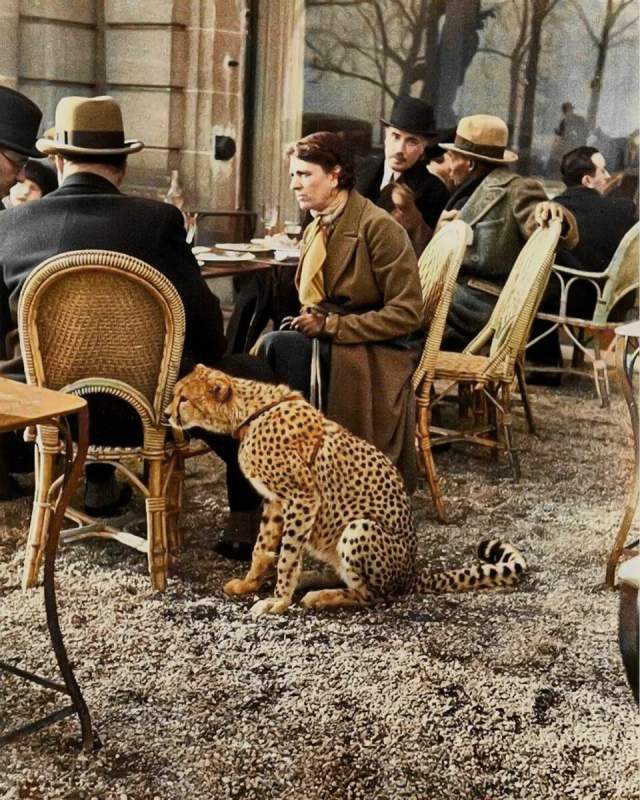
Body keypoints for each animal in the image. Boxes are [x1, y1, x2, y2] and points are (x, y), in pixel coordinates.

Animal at [168, 366, 528, 616]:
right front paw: (249, 583)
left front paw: (278, 601)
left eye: (183, 398)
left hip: (358, 528)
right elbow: (263, 548)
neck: (250, 412)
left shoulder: (302, 498)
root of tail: (412, 573)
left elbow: (287, 555)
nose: (168, 414)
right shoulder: (275, 501)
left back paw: (319, 595)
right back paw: (313, 578)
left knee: (370, 595)